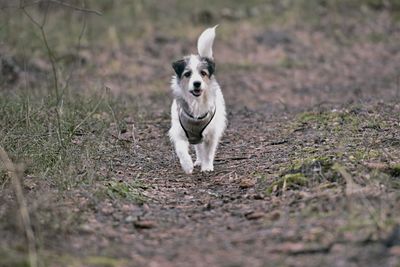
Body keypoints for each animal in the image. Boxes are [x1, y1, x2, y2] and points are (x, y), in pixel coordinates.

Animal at [167, 26, 227, 175]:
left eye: (203, 73)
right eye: (188, 74)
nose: (197, 83)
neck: (196, 102)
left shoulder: (211, 133)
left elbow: (209, 152)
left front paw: (207, 166)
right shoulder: (178, 132)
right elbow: (181, 150)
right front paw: (187, 165)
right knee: (198, 149)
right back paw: (198, 161)